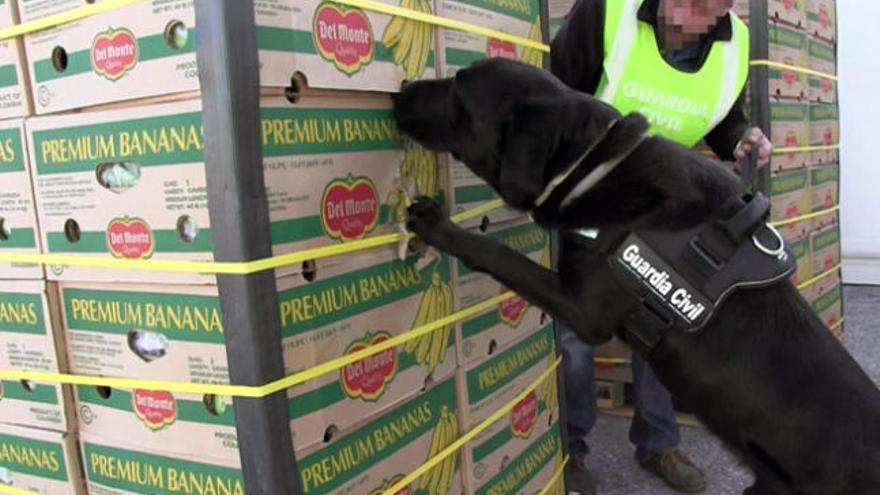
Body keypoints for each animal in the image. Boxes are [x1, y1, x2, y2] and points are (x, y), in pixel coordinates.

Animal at [398, 59, 880, 495]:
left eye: (459, 90)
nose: (401, 90)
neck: (593, 165)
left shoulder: (584, 308)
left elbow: (498, 254)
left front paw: (438, 227)